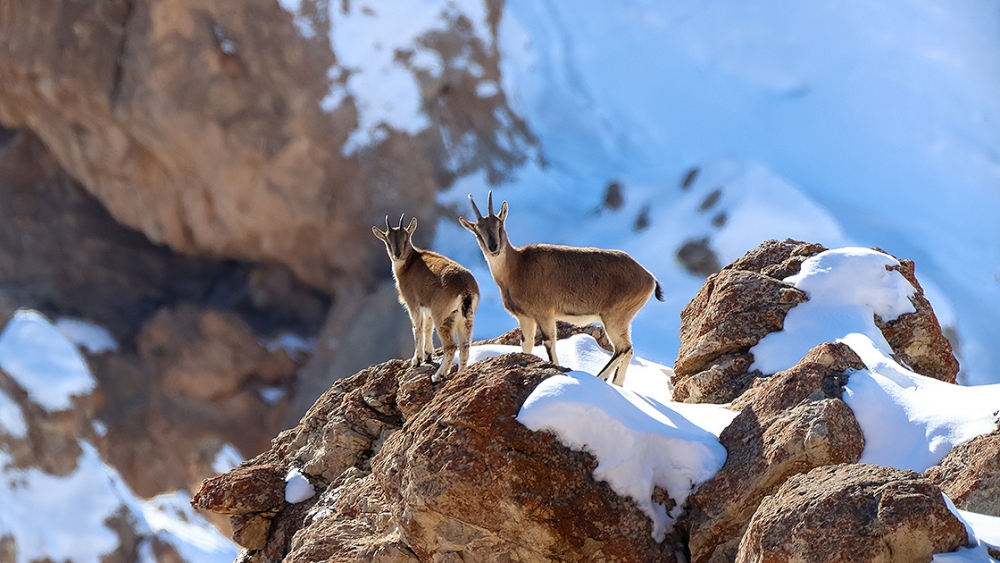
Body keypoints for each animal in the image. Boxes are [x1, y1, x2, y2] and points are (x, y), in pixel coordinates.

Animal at [374, 215, 478, 384]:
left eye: (406, 239)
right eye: (388, 241)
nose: (397, 253)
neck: (408, 265)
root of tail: (465, 288)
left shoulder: (413, 304)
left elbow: (417, 328)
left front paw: (417, 360)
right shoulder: (427, 307)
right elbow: (428, 327)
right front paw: (428, 355)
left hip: (443, 316)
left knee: (451, 346)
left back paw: (437, 376)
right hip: (465, 318)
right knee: (465, 346)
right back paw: (461, 374)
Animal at [460, 194, 664, 388]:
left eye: (499, 225)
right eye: (477, 231)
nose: (493, 247)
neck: (517, 268)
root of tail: (649, 278)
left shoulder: (544, 314)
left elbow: (549, 343)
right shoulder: (525, 317)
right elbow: (526, 345)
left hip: (615, 317)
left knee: (623, 348)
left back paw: (599, 378)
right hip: (622, 320)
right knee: (628, 350)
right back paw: (617, 384)